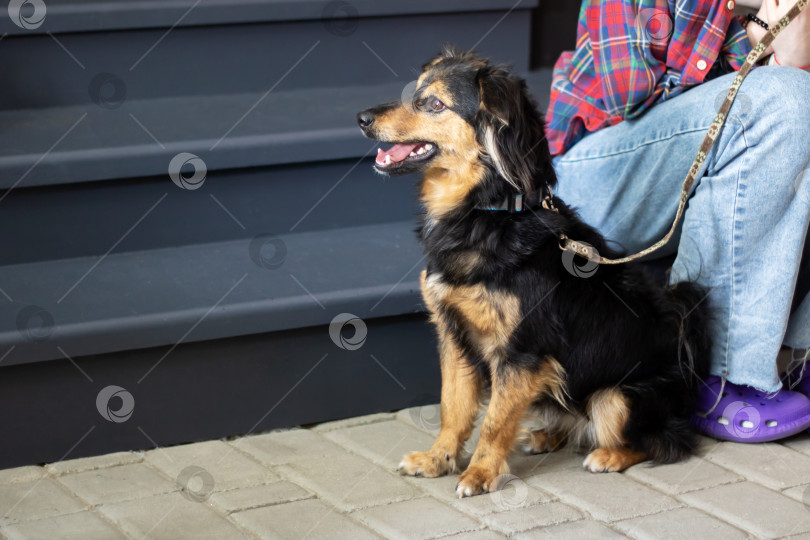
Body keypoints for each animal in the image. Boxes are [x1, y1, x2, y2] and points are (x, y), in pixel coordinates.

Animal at [356, 46, 704, 498]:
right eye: (414, 93)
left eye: (433, 104)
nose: (362, 118)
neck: (487, 211)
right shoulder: (453, 335)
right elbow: (454, 405)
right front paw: (438, 459)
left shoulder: (522, 350)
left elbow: (495, 420)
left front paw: (481, 473)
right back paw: (546, 435)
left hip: (617, 398)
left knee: (664, 441)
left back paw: (608, 455)